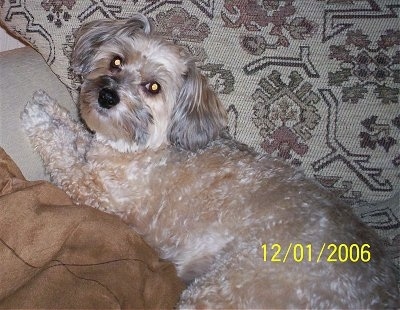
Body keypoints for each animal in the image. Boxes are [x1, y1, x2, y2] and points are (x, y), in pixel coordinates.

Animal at [21, 13, 396, 308]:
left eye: (153, 87)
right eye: (116, 61)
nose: (107, 96)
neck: (147, 148)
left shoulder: (98, 193)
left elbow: (62, 153)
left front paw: (38, 116)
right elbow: (73, 134)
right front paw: (51, 108)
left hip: (224, 287)